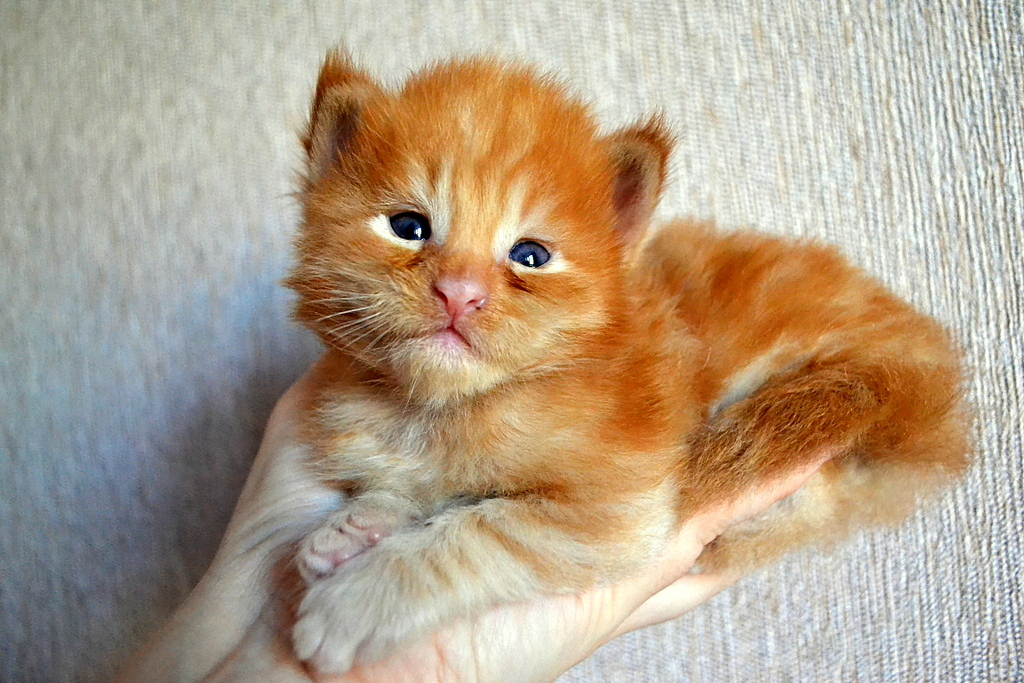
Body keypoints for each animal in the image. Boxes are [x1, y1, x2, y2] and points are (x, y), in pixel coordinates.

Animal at [284, 52, 970, 671]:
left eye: (529, 256)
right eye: (408, 227)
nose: (459, 292)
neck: (443, 406)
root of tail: (924, 373)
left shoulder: (608, 509)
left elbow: (470, 538)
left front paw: (353, 604)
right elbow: (423, 489)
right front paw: (357, 524)